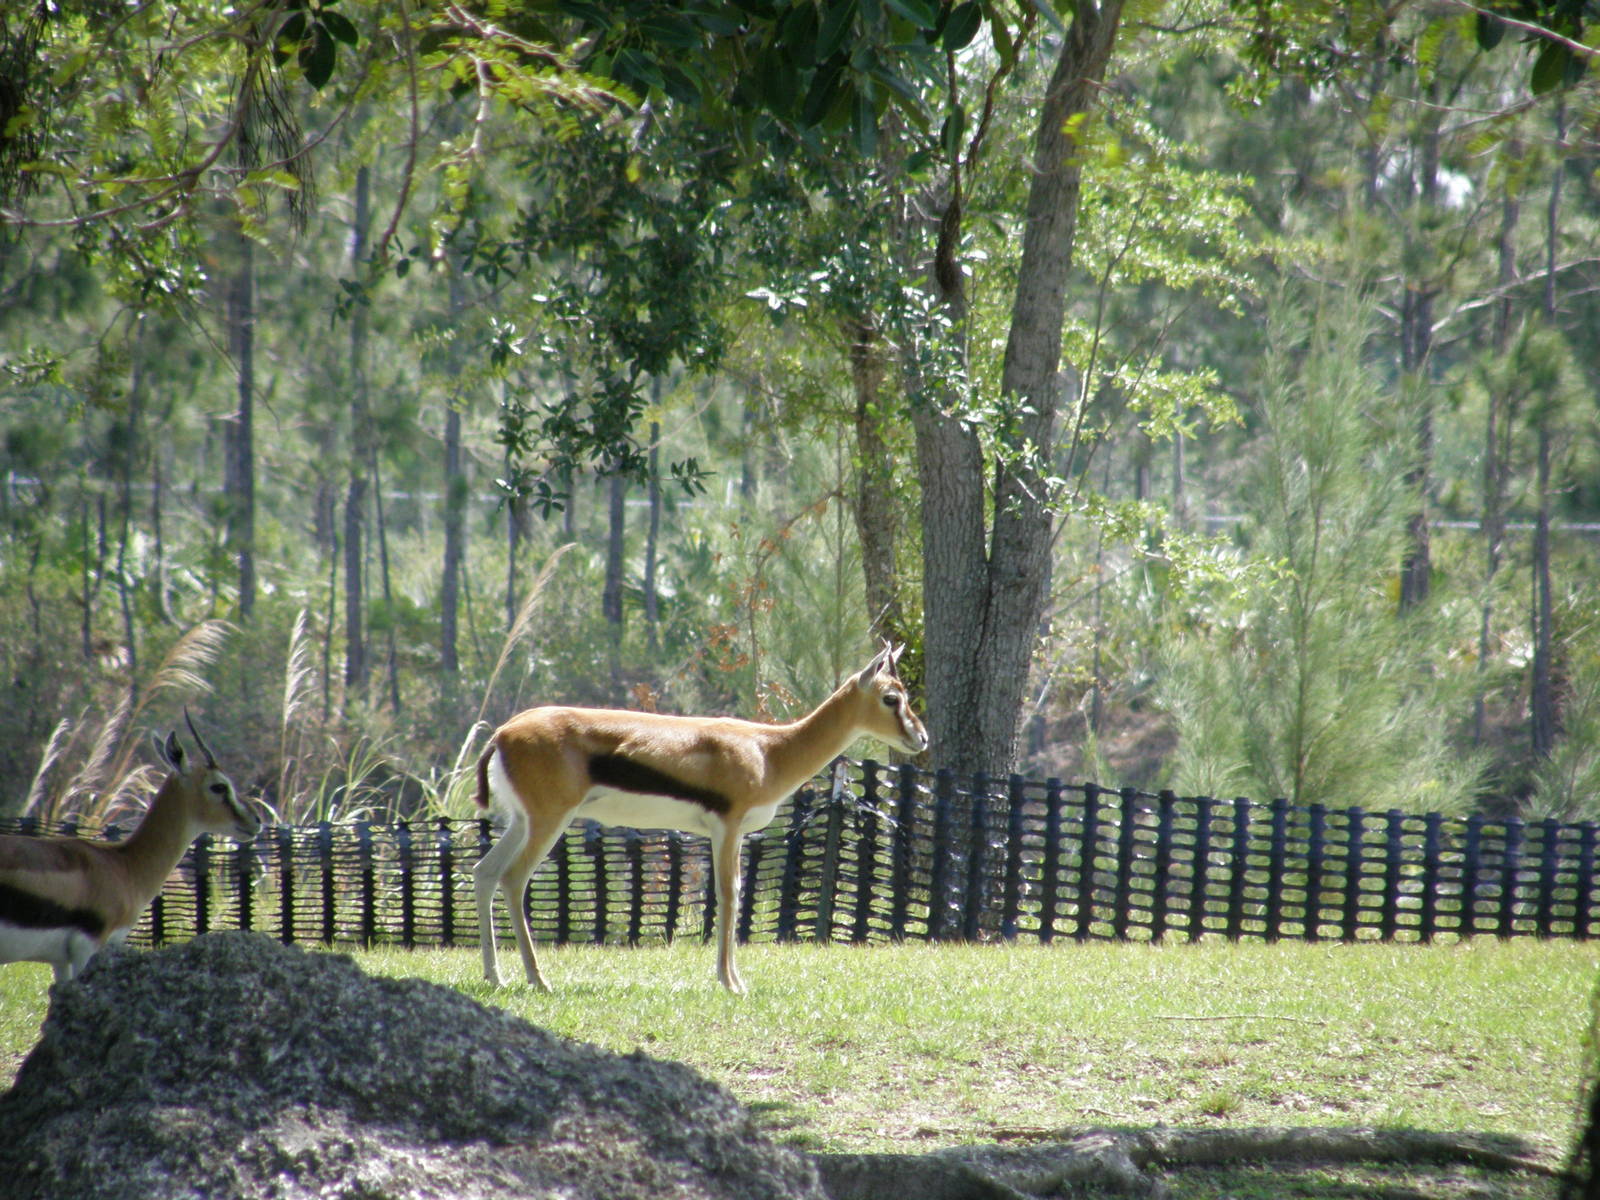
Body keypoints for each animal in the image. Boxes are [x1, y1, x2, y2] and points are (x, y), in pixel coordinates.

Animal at [474, 643, 928, 993]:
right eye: (891, 698)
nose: (920, 738)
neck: (769, 750)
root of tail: (503, 732)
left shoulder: (729, 833)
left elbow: (731, 894)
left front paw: (731, 979)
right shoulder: (727, 828)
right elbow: (729, 892)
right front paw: (732, 983)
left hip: (522, 821)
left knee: (485, 872)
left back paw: (495, 977)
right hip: (549, 821)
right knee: (513, 878)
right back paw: (538, 980)